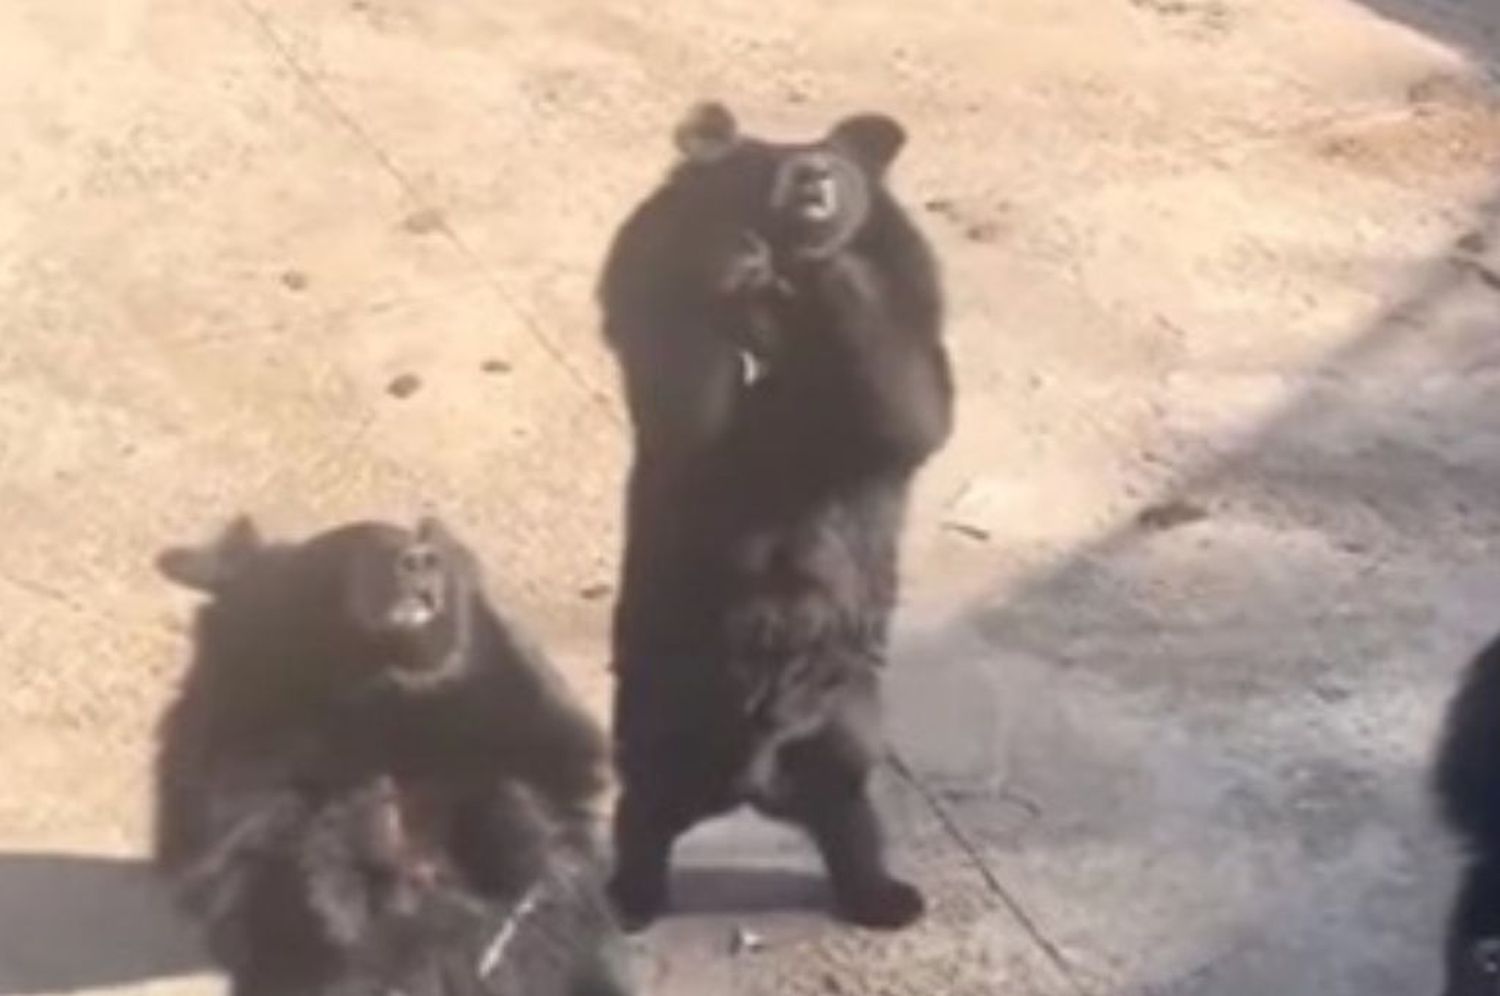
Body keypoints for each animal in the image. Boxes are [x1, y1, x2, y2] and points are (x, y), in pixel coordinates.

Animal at [594, 101, 948, 936]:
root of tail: (750, 781)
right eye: (764, 166)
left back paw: (887, 898)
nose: (812, 176)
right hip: (660, 697)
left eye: (836, 164)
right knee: (642, 805)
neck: (788, 293)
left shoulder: (900, 315)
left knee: (850, 811)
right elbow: (684, 397)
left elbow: (907, 405)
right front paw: (735, 257)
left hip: (847, 709)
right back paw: (630, 896)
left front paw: (833, 269)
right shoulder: (656, 279)